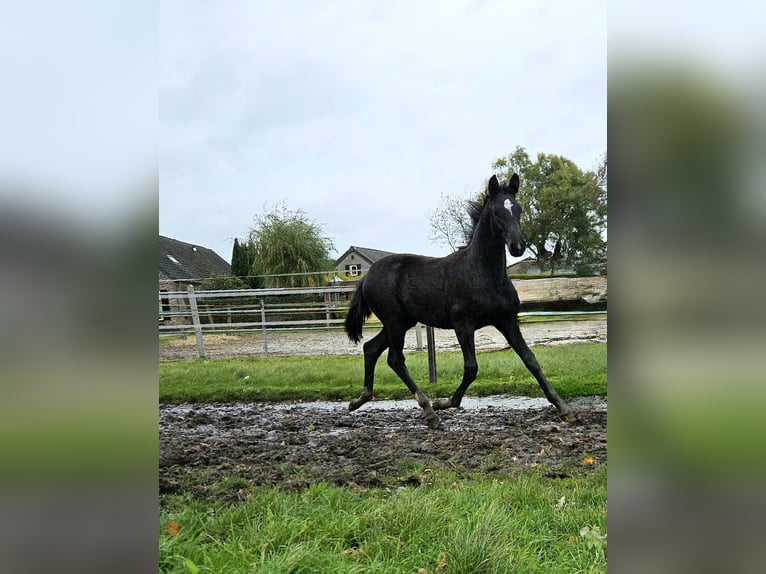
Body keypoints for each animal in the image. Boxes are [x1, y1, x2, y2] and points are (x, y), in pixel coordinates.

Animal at [348, 174, 576, 428]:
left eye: (518, 209)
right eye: (496, 212)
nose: (517, 247)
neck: (483, 273)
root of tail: (366, 277)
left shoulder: (507, 320)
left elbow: (530, 360)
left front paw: (564, 408)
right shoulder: (463, 324)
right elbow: (471, 368)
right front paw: (445, 403)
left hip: (401, 322)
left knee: (371, 348)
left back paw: (359, 400)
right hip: (395, 322)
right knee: (395, 359)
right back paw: (428, 410)